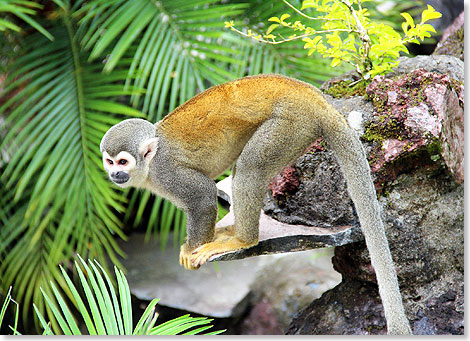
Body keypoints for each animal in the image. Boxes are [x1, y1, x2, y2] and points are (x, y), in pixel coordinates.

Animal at [100, 75, 412, 334]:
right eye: (109, 161)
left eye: (123, 162)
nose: (115, 175)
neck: (150, 165)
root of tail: (314, 98)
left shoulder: (167, 173)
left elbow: (203, 195)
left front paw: (191, 250)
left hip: (289, 125)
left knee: (250, 169)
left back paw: (243, 240)